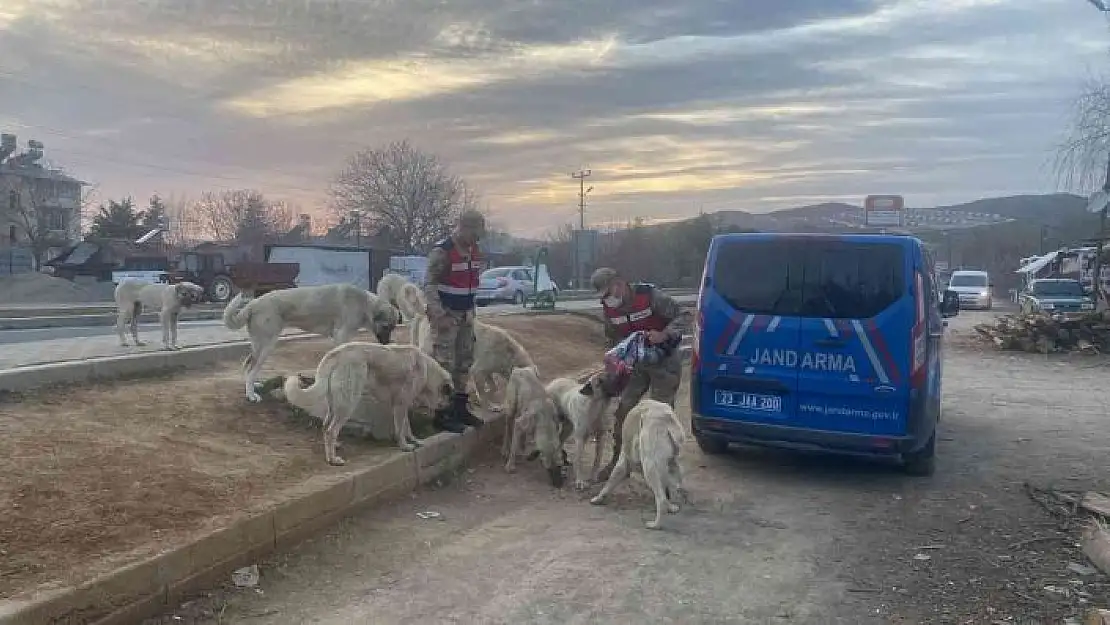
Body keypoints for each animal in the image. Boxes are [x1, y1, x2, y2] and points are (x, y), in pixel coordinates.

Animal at [223, 284, 401, 404]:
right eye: (386, 327)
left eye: (393, 327)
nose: (387, 342)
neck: (365, 304)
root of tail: (253, 304)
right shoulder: (341, 336)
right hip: (266, 346)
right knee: (251, 368)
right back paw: (251, 395)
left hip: (259, 345)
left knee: (248, 365)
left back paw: (253, 387)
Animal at [284, 341, 452, 464]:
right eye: (448, 395)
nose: (447, 407)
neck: (426, 369)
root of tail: (335, 354)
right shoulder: (400, 405)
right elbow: (400, 429)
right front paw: (404, 446)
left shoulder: (402, 406)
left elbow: (407, 427)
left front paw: (415, 441)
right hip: (348, 404)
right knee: (331, 430)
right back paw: (332, 459)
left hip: (335, 405)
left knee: (326, 427)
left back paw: (334, 446)